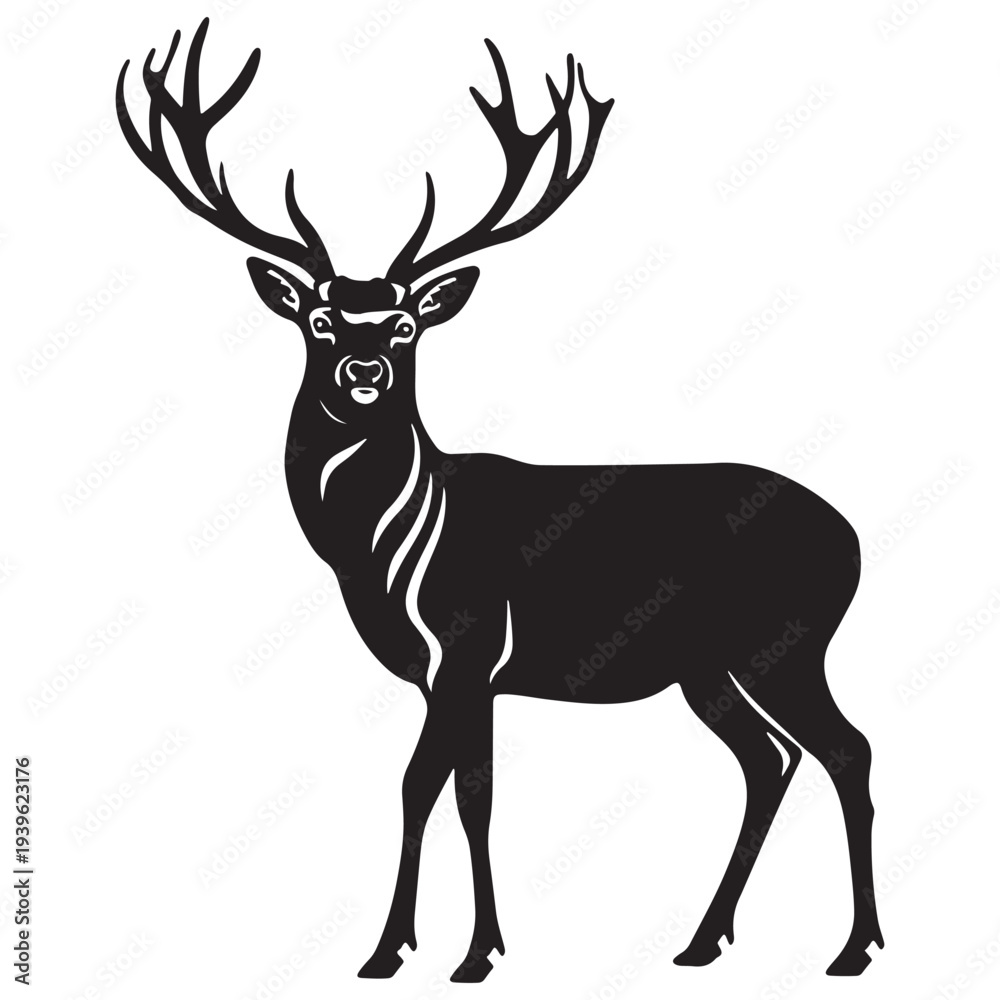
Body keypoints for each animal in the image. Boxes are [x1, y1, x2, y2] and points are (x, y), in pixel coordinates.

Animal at [116, 18, 884, 984]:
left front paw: (454, 952)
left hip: (785, 641)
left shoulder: (471, 643)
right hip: (709, 665)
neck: (394, 552)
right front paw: (416, 949)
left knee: (846, 750)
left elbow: (449, 790)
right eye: (320, 319)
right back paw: (703, 941)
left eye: (406, 324)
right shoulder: (446, 673)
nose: (364, 368)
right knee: (769, 760)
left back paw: (853, 949)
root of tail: (855, 539)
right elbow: (445, 790)